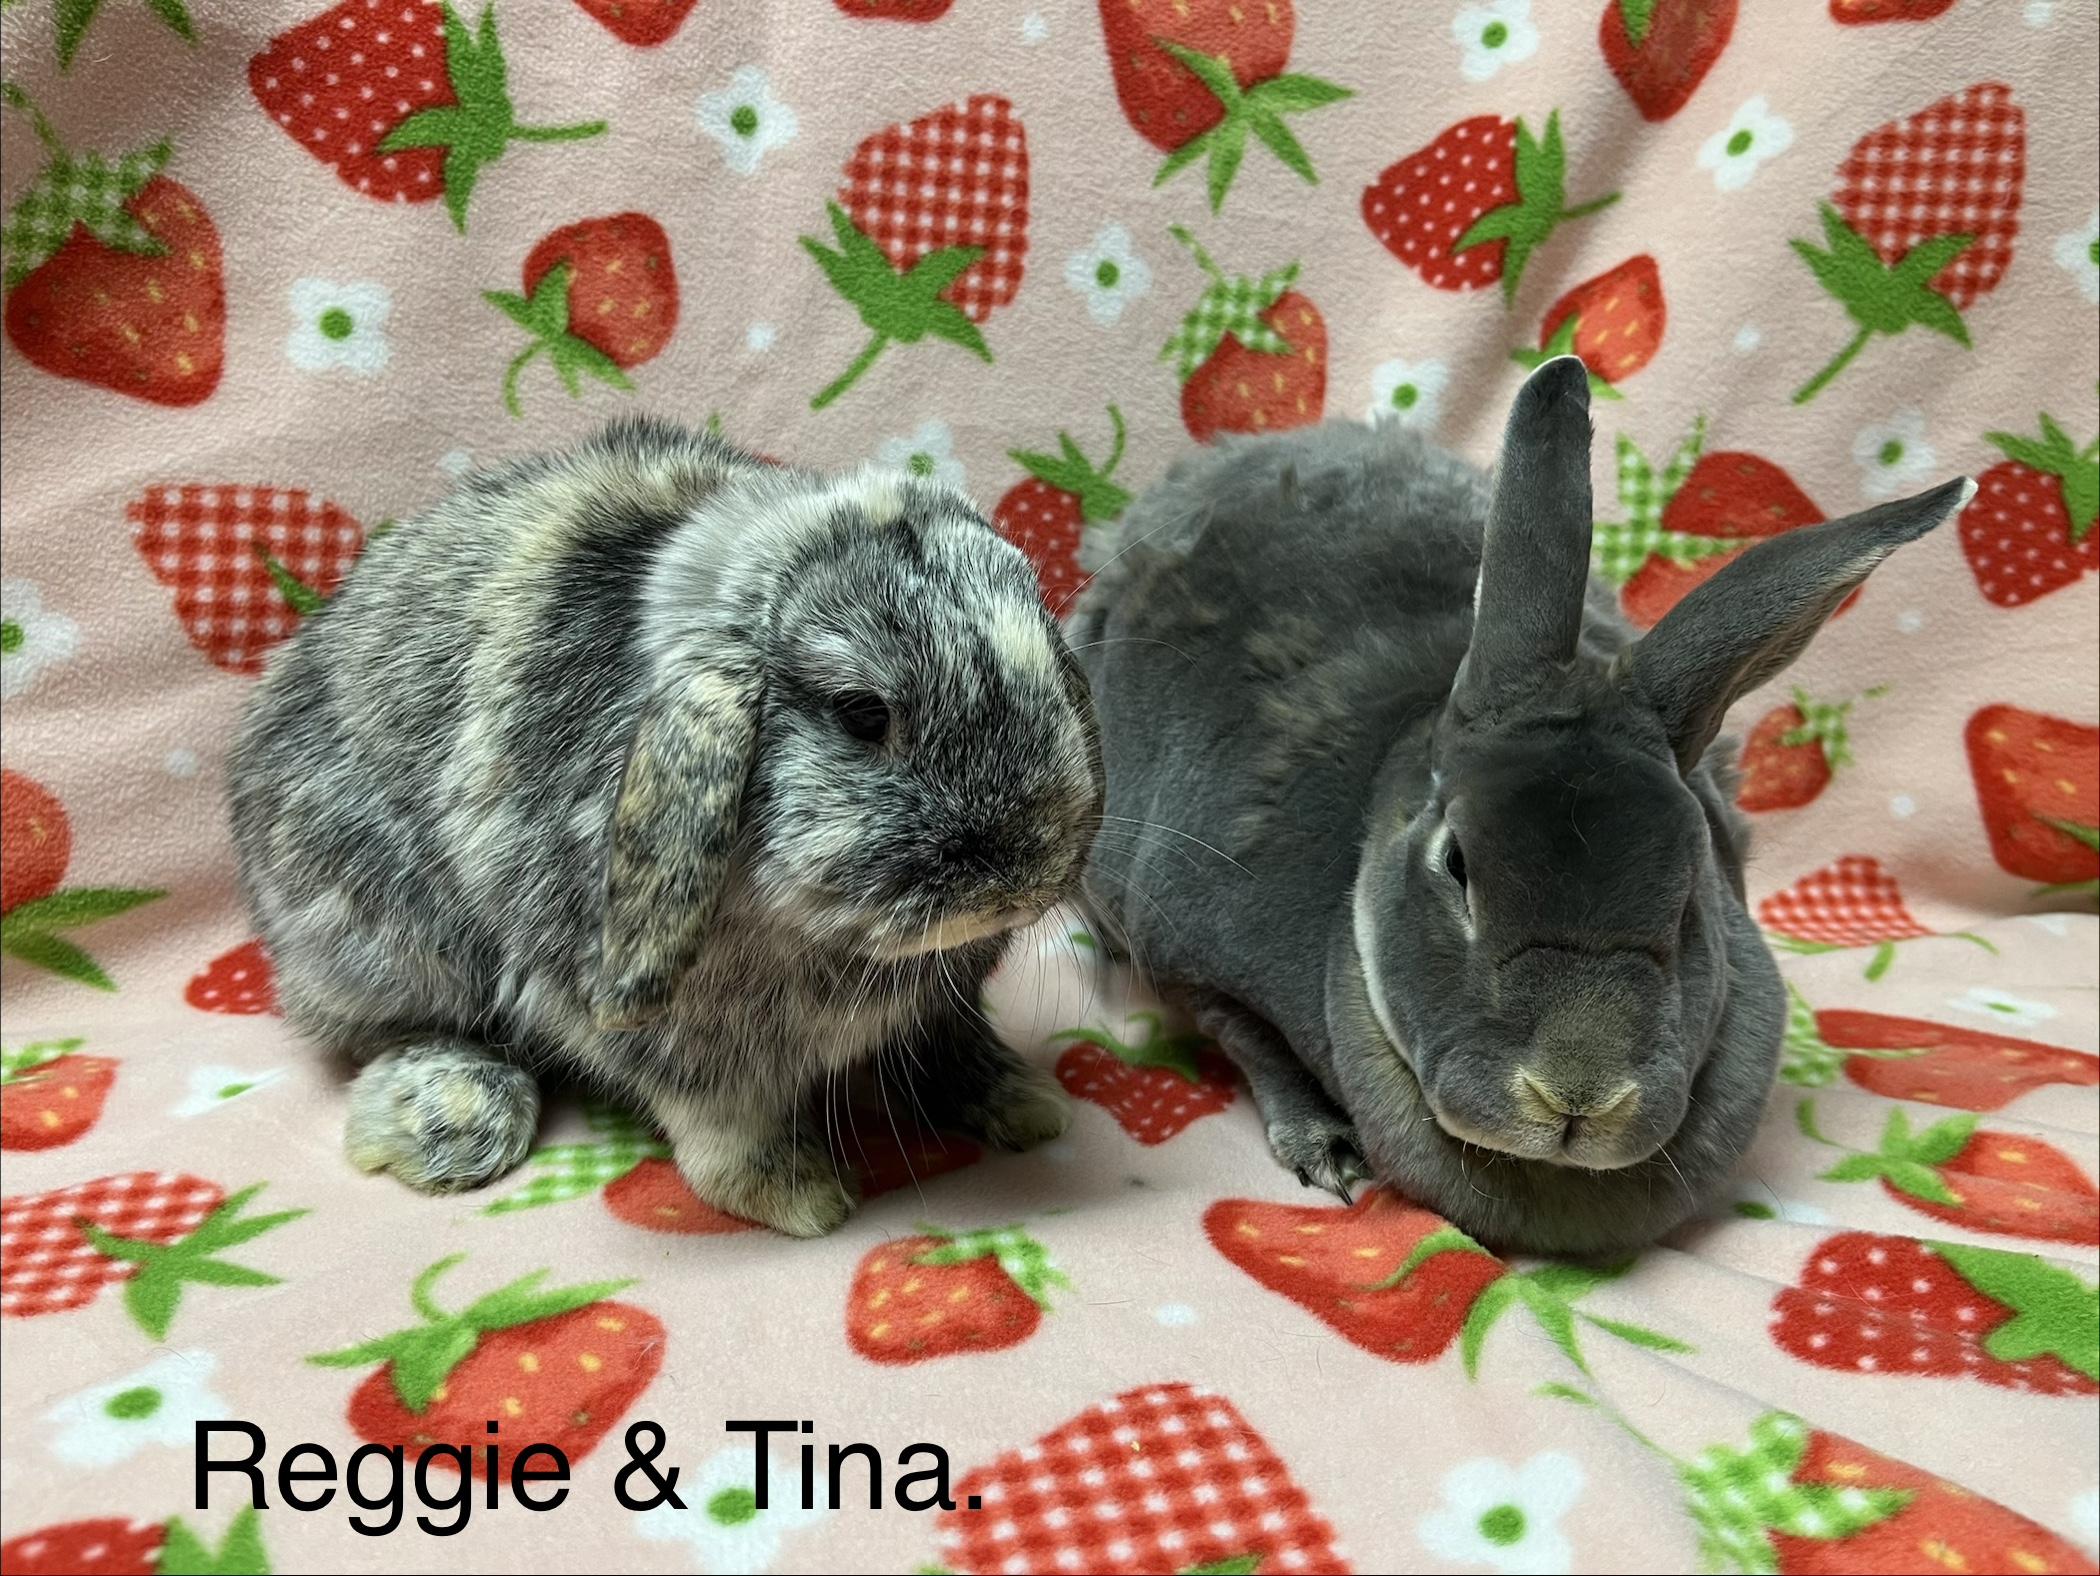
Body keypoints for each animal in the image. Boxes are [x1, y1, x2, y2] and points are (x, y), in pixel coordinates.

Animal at [229, 416, 1103, 1237]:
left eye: (1050, 672)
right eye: (861, 712)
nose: (1017, 876)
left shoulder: (938, 1008)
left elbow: (946, 1043)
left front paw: (1026, 1105)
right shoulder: (675, 1043)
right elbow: (725, 1124)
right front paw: (799, 1197)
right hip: (384, 944)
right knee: (381, 1032)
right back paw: (453, 1119)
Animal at [1070, 357, 1972, 1258]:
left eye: (1691, 895)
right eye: (1456, 866)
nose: (1577, 1094)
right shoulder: (1185, 941)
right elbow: (1246, 1037)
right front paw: (1325, 1151)